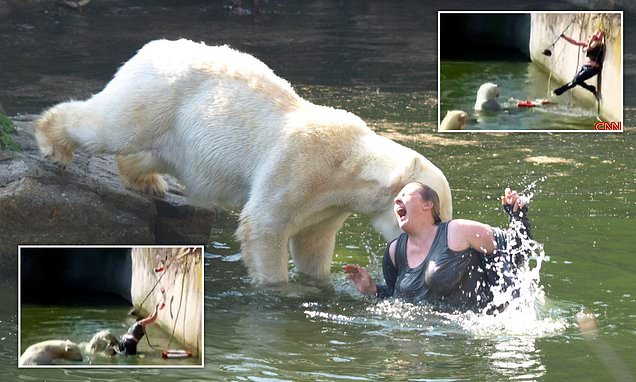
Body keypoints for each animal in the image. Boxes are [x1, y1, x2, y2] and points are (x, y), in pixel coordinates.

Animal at [36, 38, 452, 286]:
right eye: (437, 212)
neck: (347, 164)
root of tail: (151, 47)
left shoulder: (328, 206)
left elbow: (313, 242)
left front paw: (318, 283)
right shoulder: (298, 166)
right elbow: (264, 224)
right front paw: (278, 288)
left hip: (178, 131)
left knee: (151, 151)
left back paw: (146, 180)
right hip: (158, 94)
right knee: (112, 125)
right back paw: (53, 143)